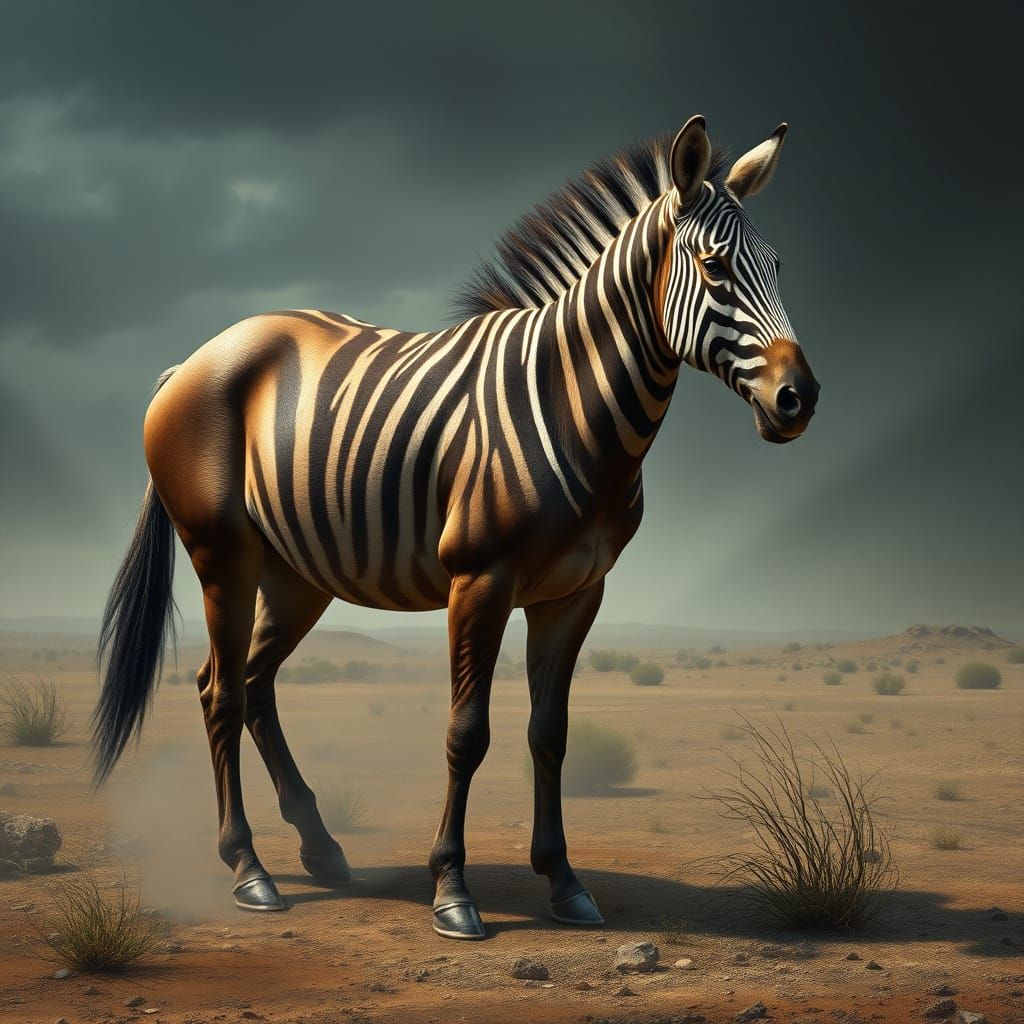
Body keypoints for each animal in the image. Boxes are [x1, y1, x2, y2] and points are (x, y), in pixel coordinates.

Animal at [92, 114, 819, 940]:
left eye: (778, 265)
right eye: (716, 268)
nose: (800, 399)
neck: (575, 405)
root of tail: (193, 357)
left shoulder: (576, 593)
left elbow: (549, 732)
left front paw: (564, 883)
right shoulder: (479, 579)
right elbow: (467, 732)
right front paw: (451, 891)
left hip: (299, 572)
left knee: (251, 681)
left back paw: (322, 848)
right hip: (224, 554)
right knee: (221, 692)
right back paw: (250, 870)